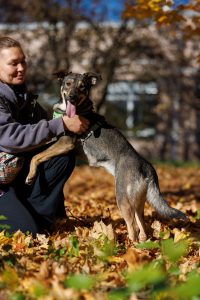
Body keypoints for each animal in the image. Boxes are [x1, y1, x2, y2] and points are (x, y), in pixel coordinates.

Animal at [25, 70, 188, 241]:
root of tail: (146, 166)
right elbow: (38, 150)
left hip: (123, 199)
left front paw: (30, 176)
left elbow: (36, 156)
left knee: (133, 228)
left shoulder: (65, 143)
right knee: (143, 228)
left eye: (82, 87)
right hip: (139, 201)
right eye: (68, 84)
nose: (72, 97)